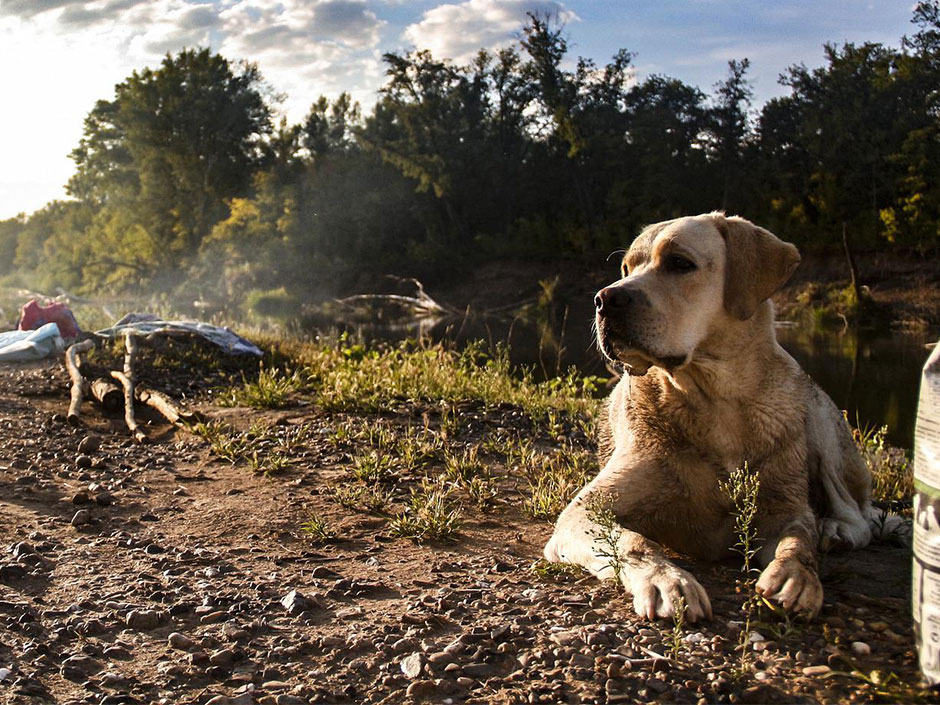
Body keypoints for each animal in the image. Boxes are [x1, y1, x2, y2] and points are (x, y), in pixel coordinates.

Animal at [544, 212, 872, 620]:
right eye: (626, 268)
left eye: (679, 262)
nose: (605, 299)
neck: (717, 402)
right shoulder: (584, 511)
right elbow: (632, 540)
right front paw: (667, 580)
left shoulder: (783, 507)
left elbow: (798, 540)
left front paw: (796, 575)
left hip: (821, 420)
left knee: (858, 512)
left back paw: (834, 529)